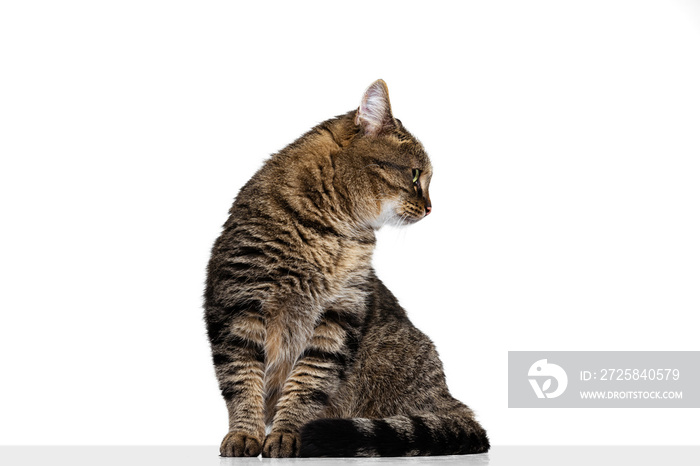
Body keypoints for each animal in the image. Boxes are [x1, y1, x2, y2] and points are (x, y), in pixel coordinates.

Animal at [202, 80, 486, 458]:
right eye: (415, 174)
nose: (430, 208)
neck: (331, 232)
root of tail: (449, 399)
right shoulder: (238, 306)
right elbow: (243, 382)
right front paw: (245, 434)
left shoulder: (339, 316)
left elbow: (307, 384)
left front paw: (287, 434)